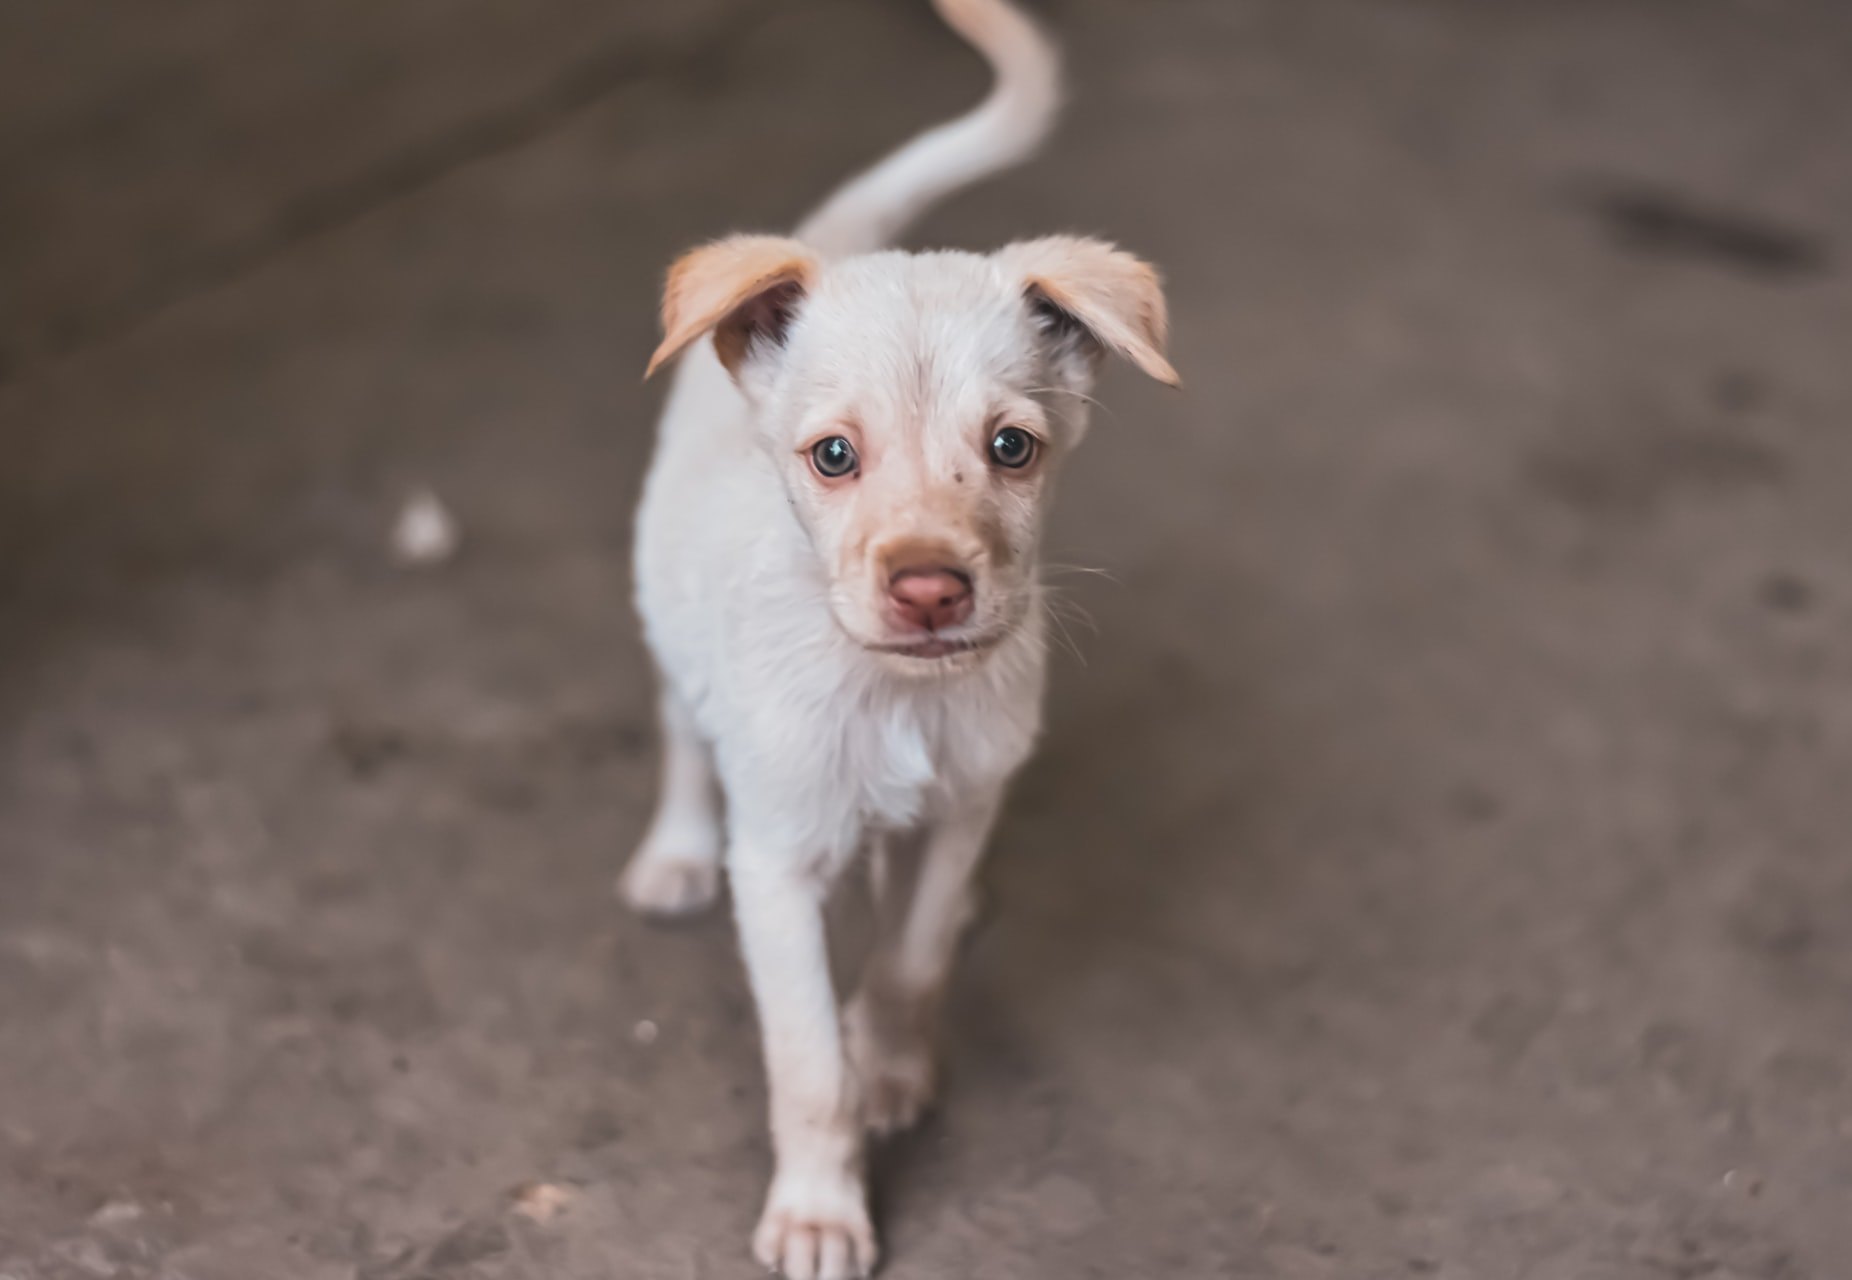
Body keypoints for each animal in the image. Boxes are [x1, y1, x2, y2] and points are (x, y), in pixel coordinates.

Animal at [622, 5, 1170, 1274]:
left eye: (1012, 448)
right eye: (834, 455)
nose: (929, 590)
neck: (895, 692)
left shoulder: (965, 801)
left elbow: (909, 960)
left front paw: (893, 1059)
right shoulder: (776, 865)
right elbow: (806, 1064)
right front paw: (821, 1206)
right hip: (669, 625)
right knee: (681, 736)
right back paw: (675, 849)